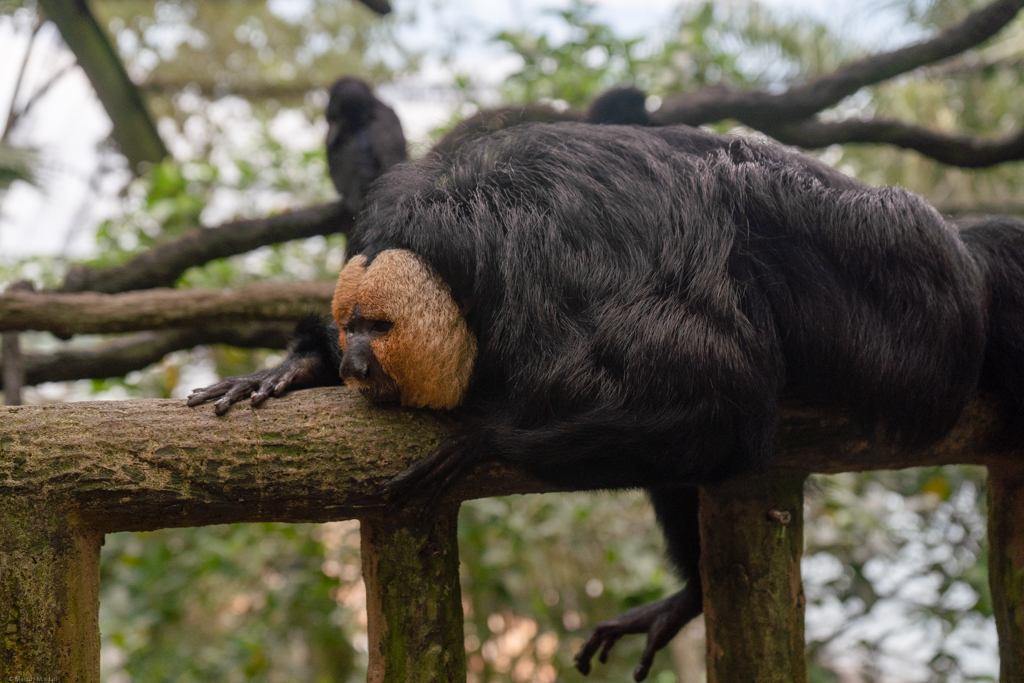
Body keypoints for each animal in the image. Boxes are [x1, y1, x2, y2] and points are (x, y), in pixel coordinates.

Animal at [190, 121, 1024, 679]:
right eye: (349, 324)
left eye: (380, 326)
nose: (357, 359)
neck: (477, 271)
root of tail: (957, 254)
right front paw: (292, 369)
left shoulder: (560, 293)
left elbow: (722, 399)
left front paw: (484, 440)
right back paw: (689, 594)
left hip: (905, 308)